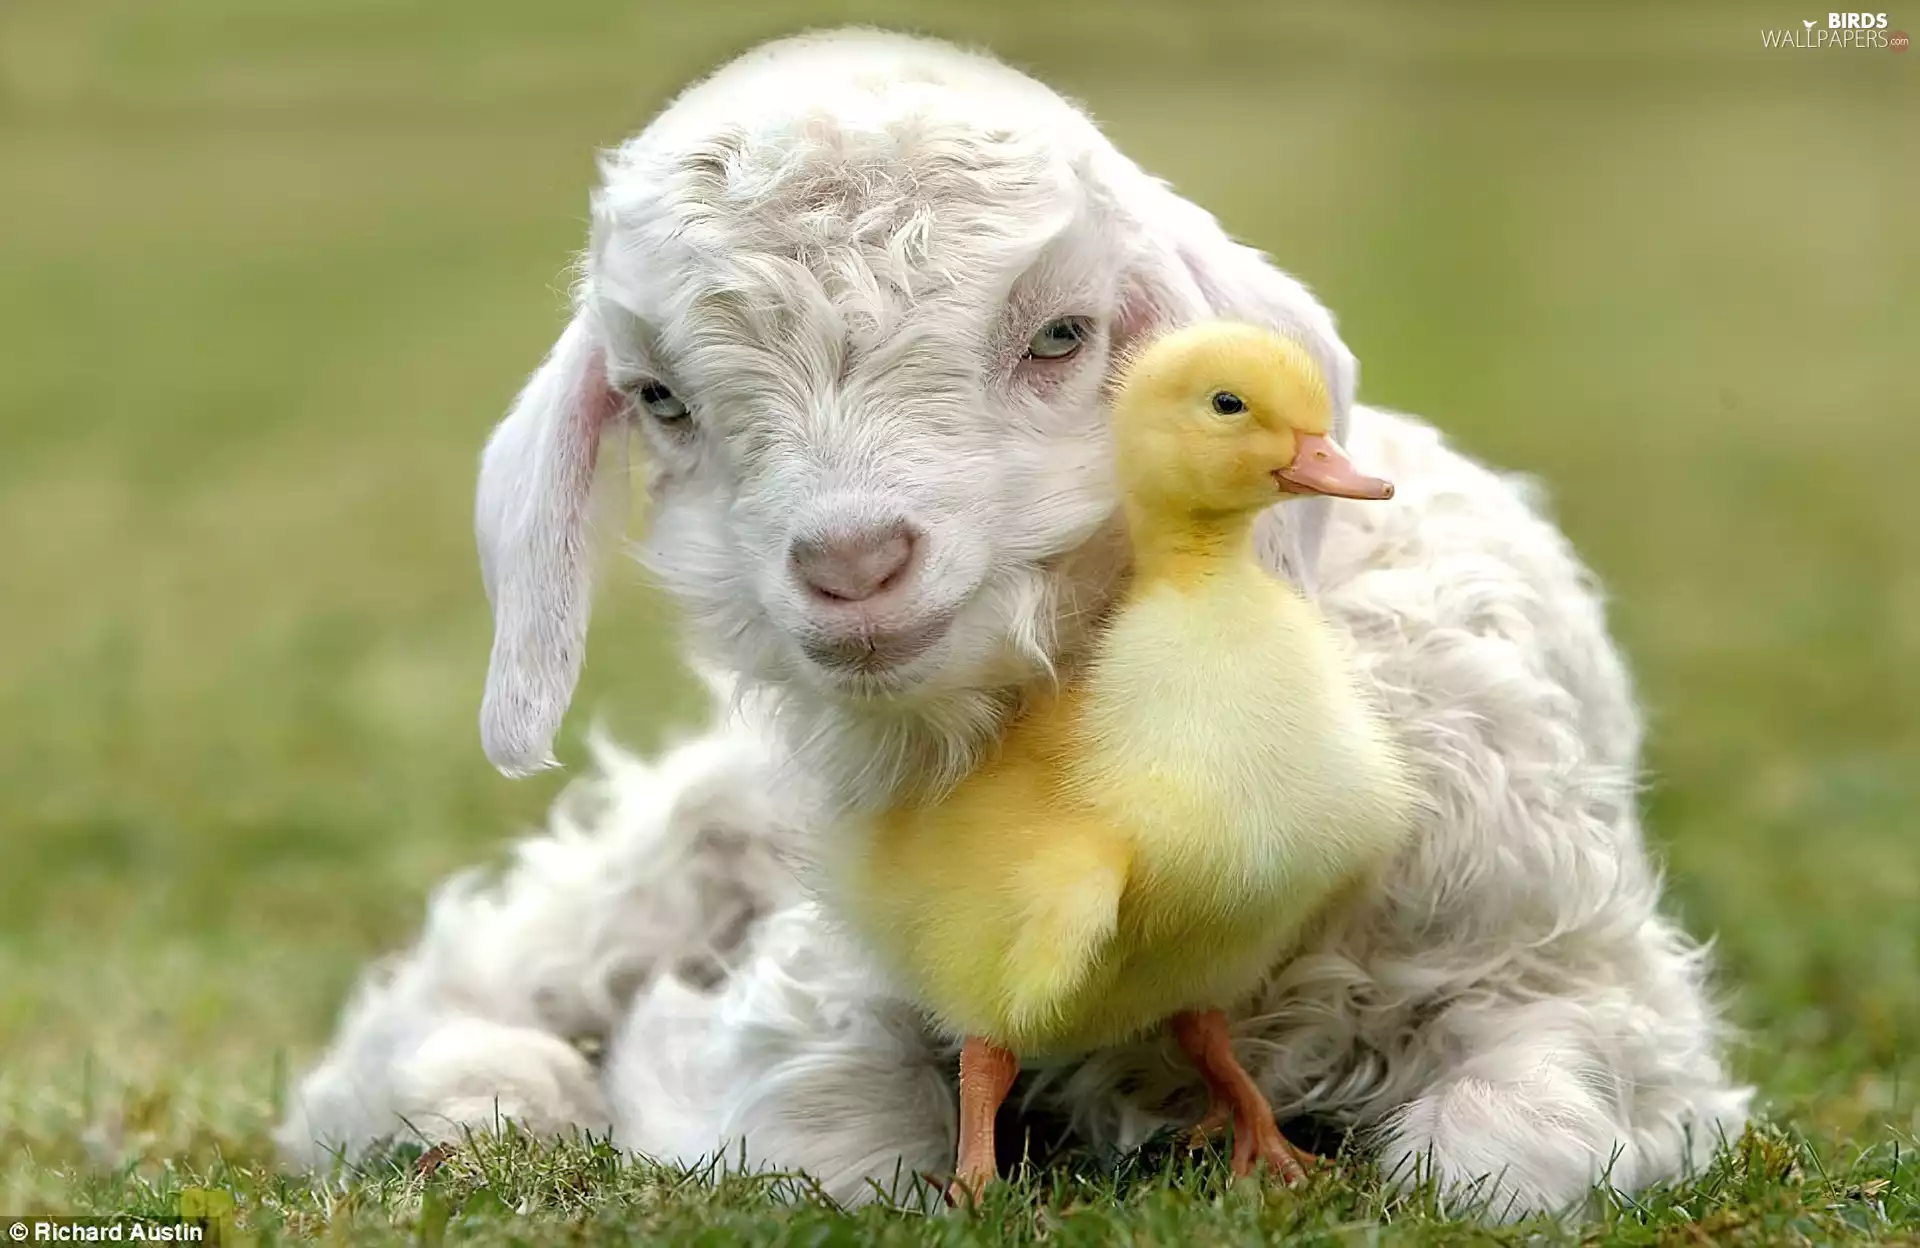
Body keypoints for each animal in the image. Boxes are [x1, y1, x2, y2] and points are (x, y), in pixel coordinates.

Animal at [277, 29, 1752, 1220]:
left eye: (1061, 335)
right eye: (658, 399)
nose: (853, 564)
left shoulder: (1574, 975)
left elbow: (1507, 1163)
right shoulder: (832, 976)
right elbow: (829, 1147)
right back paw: (486, 1089)